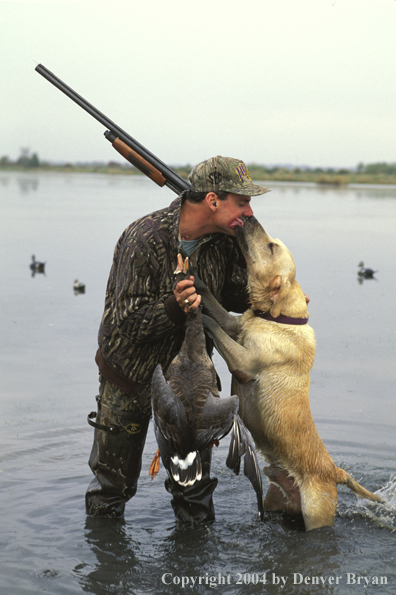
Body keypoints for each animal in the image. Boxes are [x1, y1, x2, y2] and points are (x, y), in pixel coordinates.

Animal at [195, 217, 380, 532]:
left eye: (271, 246)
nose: (248, 217)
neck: (278, 317)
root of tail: (335, 471)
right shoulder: (236, 325)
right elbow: (216, 308)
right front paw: (195, 282)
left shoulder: (243, 362)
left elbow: (215, 326)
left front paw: (198, 314)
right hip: (274, 500)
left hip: (316, 516)